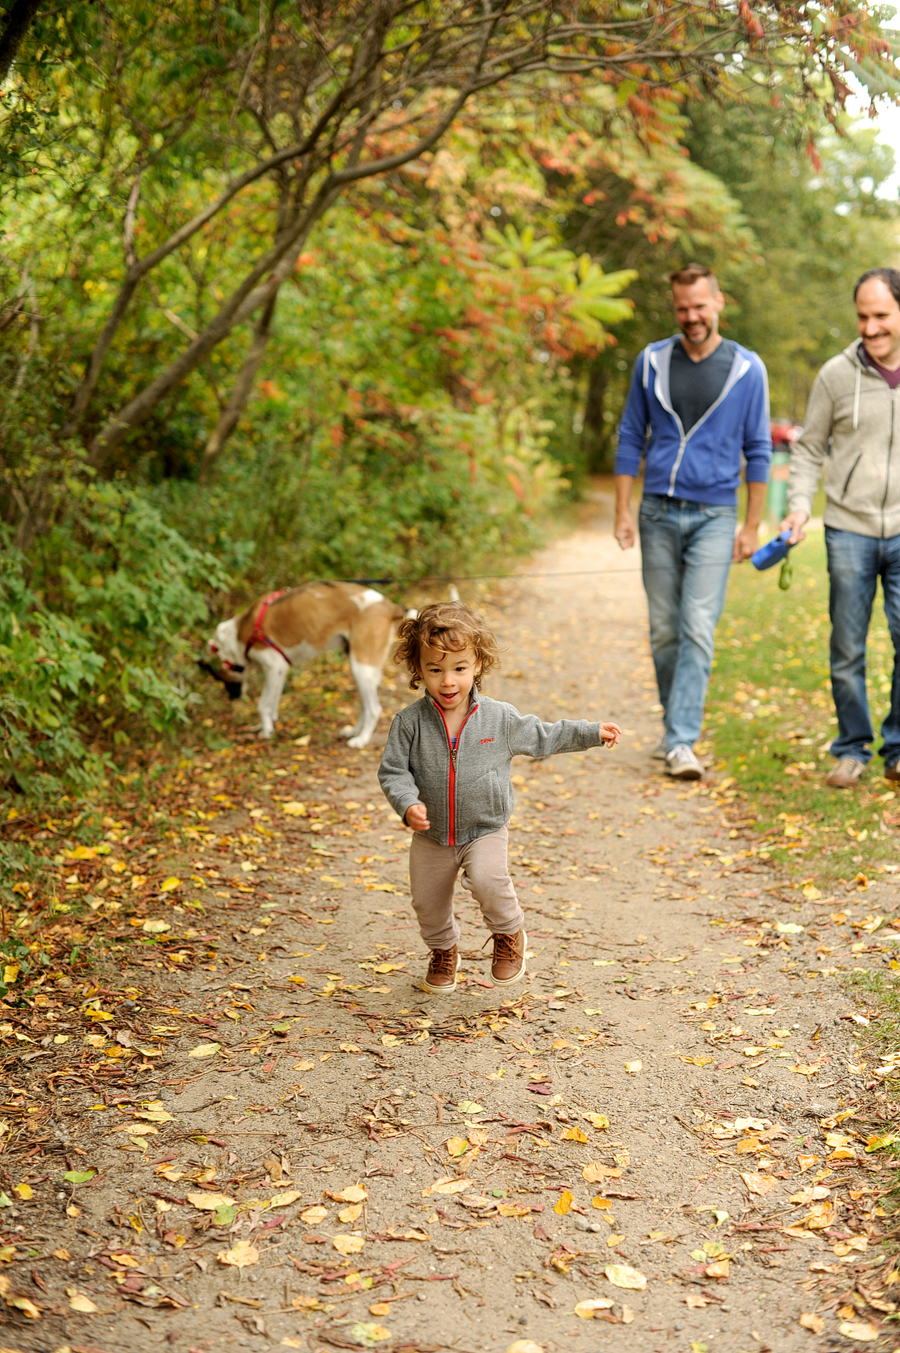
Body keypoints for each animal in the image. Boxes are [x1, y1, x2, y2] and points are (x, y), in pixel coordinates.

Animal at [207, 581, 403, 746]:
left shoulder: (275, 667)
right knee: (365, 705)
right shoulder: (280, 672)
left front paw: (266, 731)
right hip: (362, 670)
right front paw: (267, 724)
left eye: (221, 680)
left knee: (374, 709)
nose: (233, 699)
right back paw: (353, 732)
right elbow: (272, 703)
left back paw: (361, 740)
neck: (242, 632)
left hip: (361, 667)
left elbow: (263, 704)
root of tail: (390, 606)